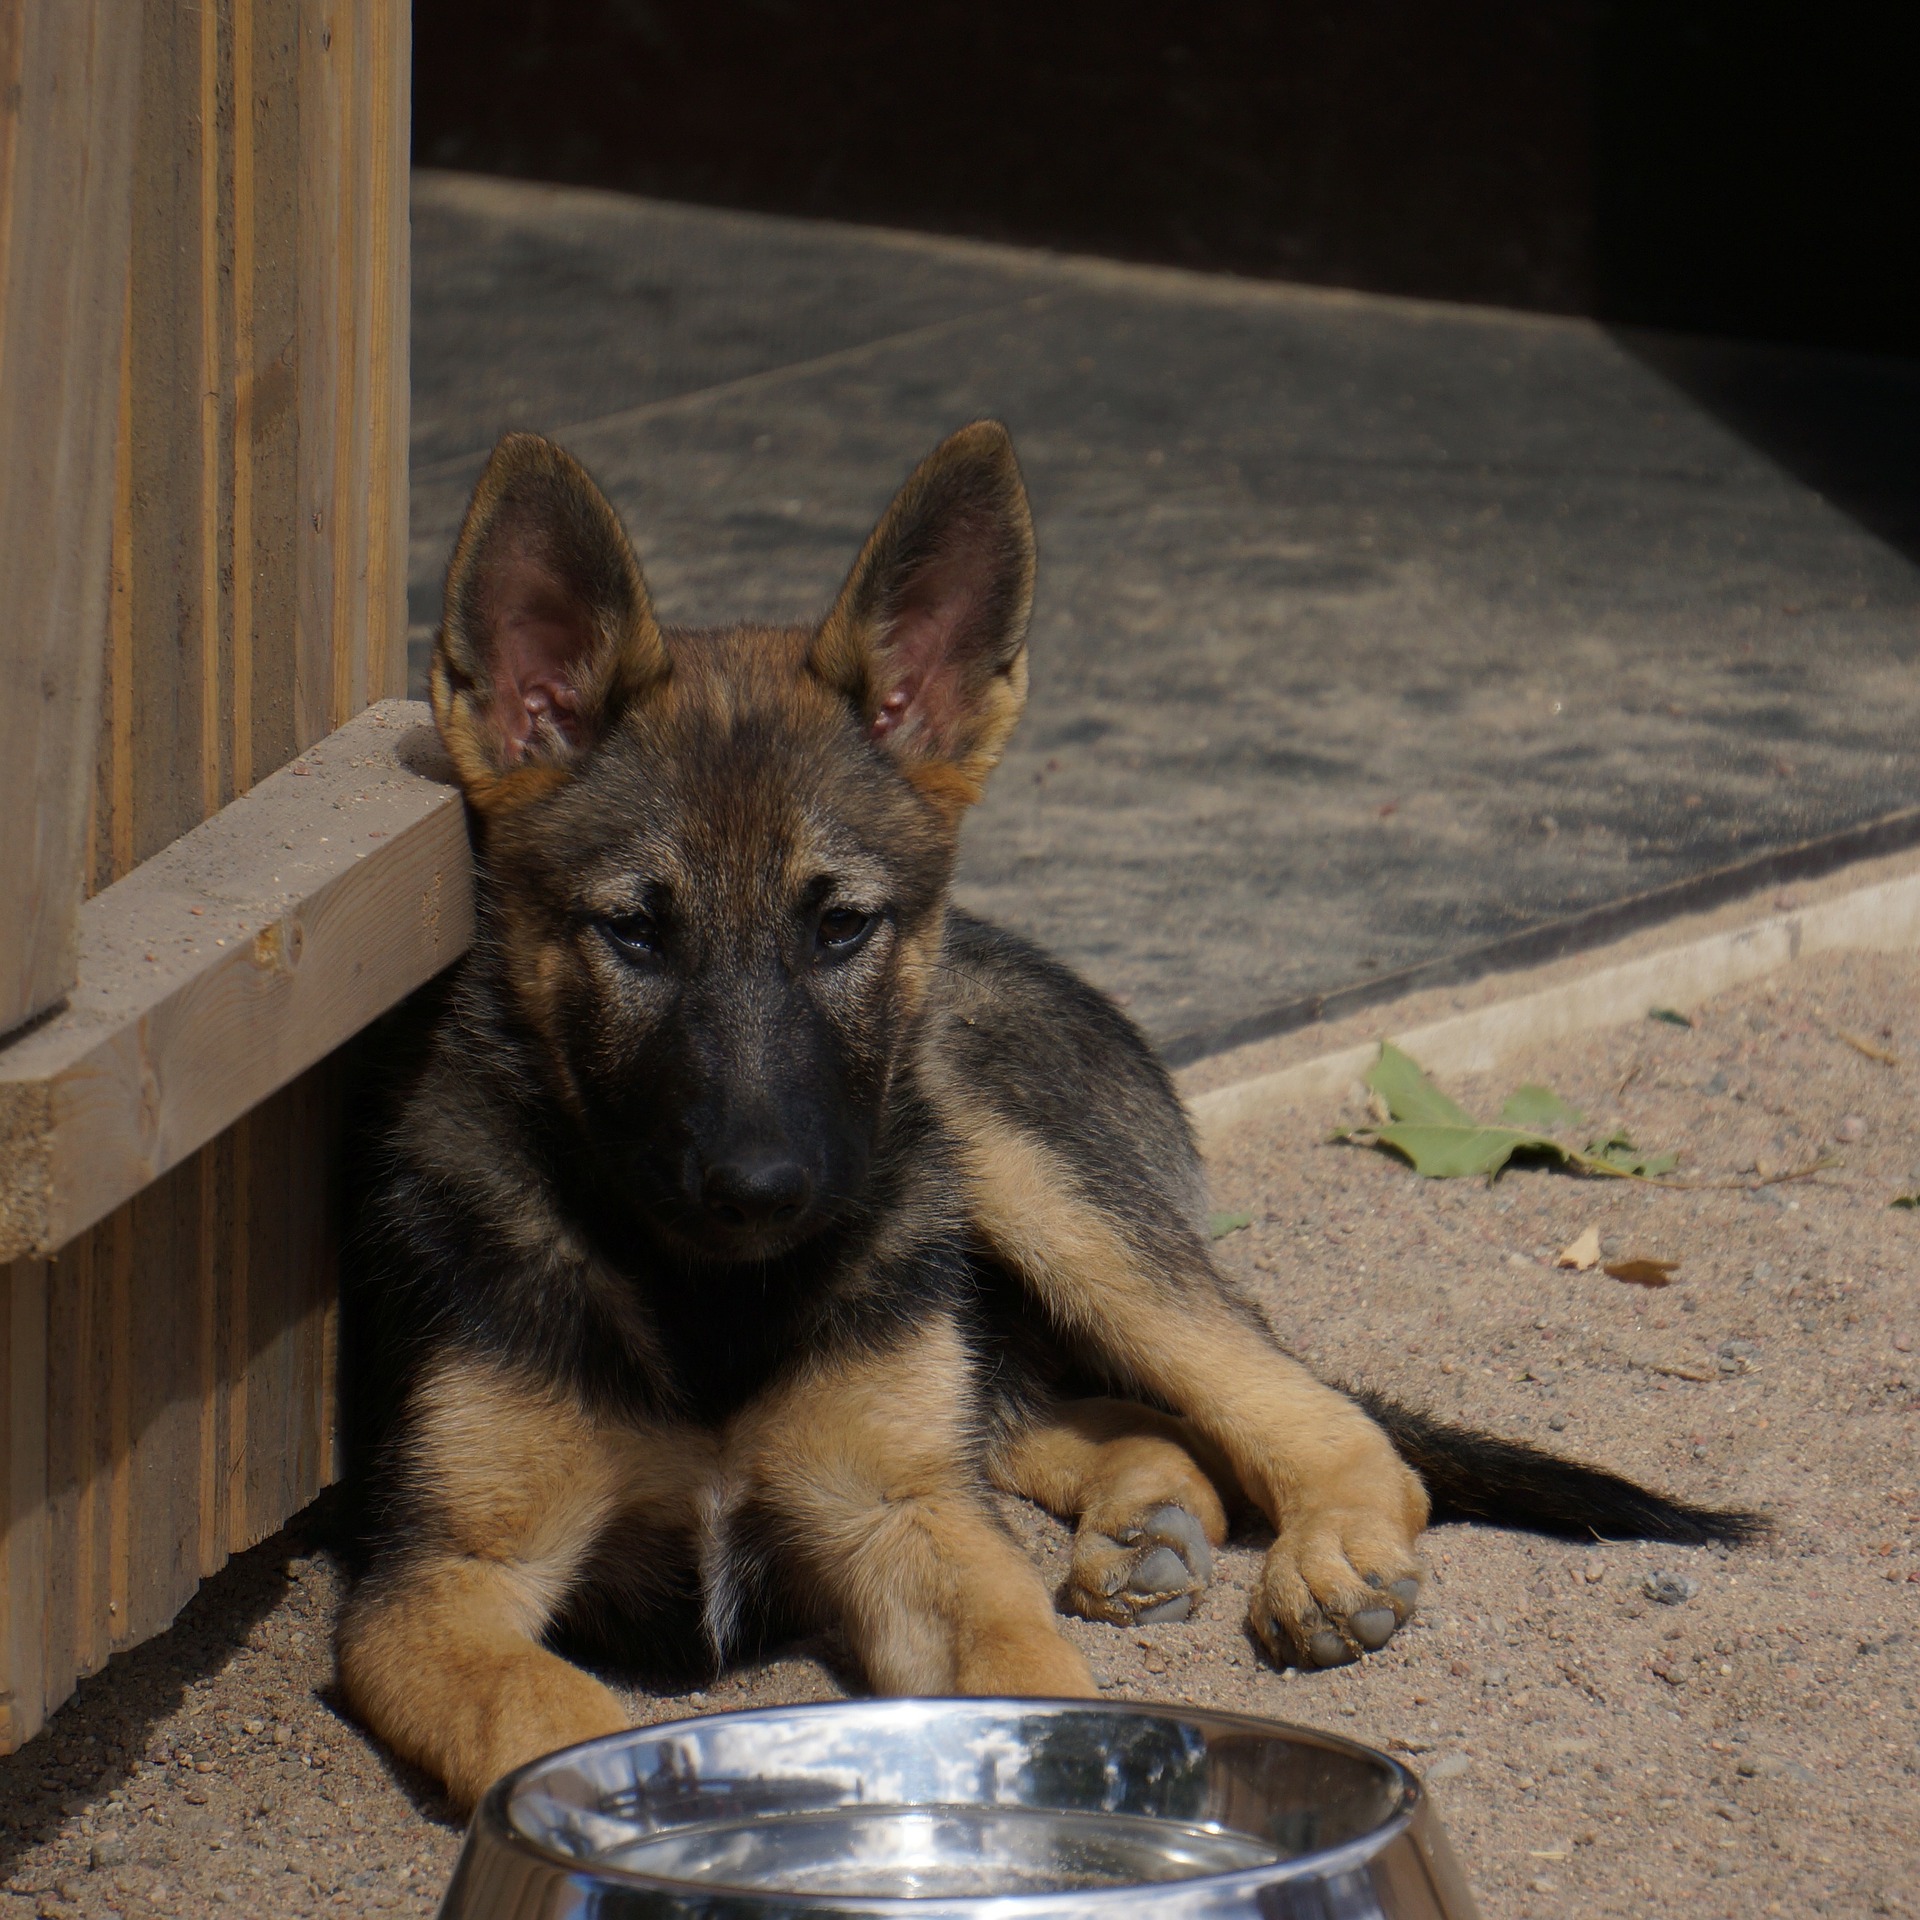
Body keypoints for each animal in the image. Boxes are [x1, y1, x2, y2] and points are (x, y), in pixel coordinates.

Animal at [341, 424, 1758, 1812]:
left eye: (841, 925)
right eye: (633, 931)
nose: (764, 1190)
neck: (709, 1306)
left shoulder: (901, 1518)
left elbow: (1021, 1672)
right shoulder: (436, 1588)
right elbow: (548, 1720)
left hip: (1023, 1185)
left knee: (1305, 1416)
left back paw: (1320, 1553)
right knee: (1106, 1422)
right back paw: (1148, 1522)